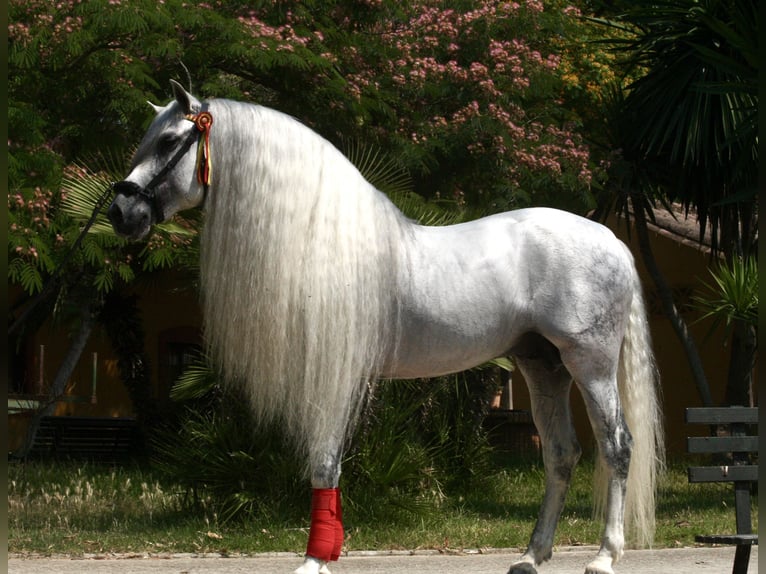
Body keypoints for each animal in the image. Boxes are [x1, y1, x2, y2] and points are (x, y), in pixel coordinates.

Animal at [108, 80, 664, 574]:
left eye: (169, 141)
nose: (121, 211)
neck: (323, 240)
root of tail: (611, 239)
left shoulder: (332, 375)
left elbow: (324, 461)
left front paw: (315, 559)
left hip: (590, 364)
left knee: (617, 446)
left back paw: (603, 557)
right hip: (541, 365)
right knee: (561, 454)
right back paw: (530, 557)